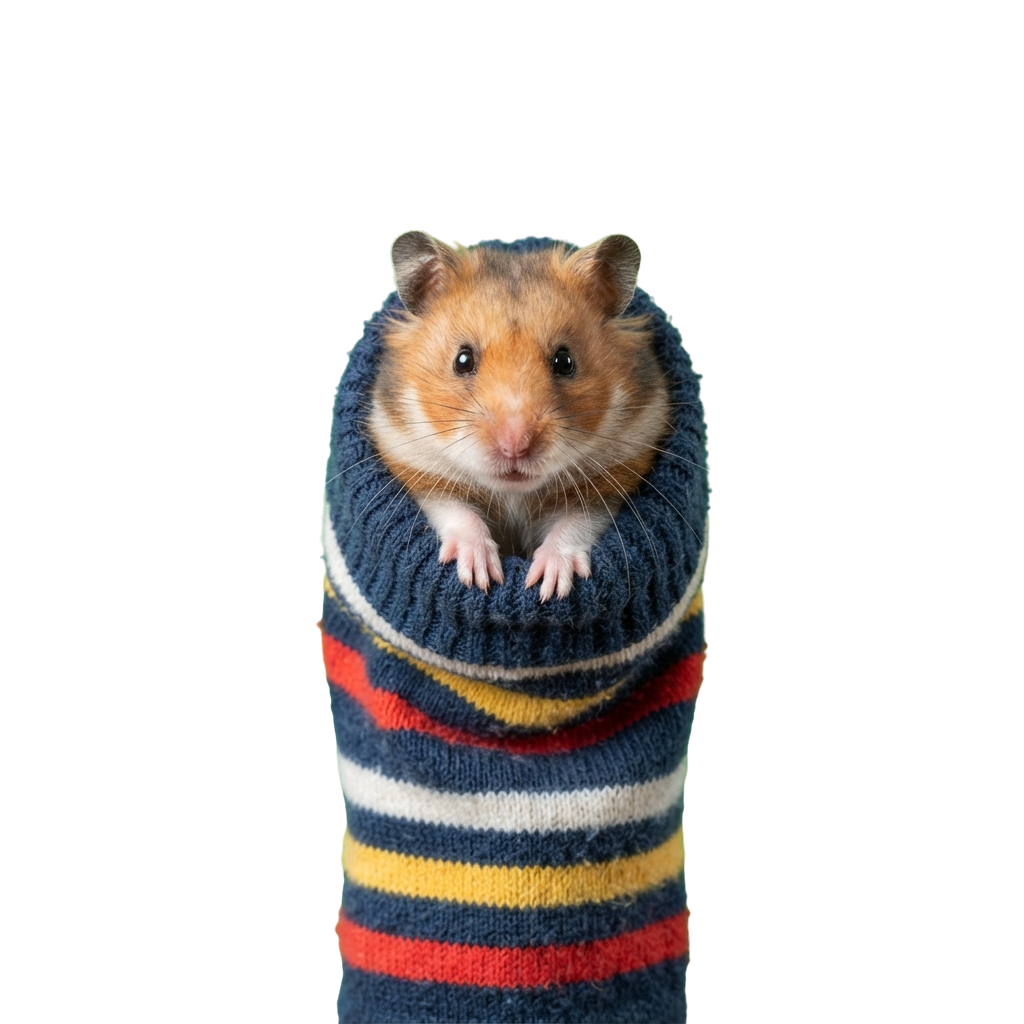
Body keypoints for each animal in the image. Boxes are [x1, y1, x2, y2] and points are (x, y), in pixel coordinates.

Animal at [367, 231, 672, 601]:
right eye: (462, 360)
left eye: (565, 361)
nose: (515, 447)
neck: (514, 493)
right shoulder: (421, 468)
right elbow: (457, 512)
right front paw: (480, 577)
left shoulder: (606, 480)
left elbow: (575, 524)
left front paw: (548, 587)